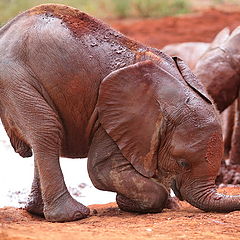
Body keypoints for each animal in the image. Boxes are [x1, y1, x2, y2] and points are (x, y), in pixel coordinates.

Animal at [0, 3, 239, 222]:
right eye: (183, 164)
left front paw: (164, 204)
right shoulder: (112, 118)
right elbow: (101, 170)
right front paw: (130, 202)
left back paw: (37, 212)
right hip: (16, 81)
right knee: (47, 131)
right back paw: (74, 215)